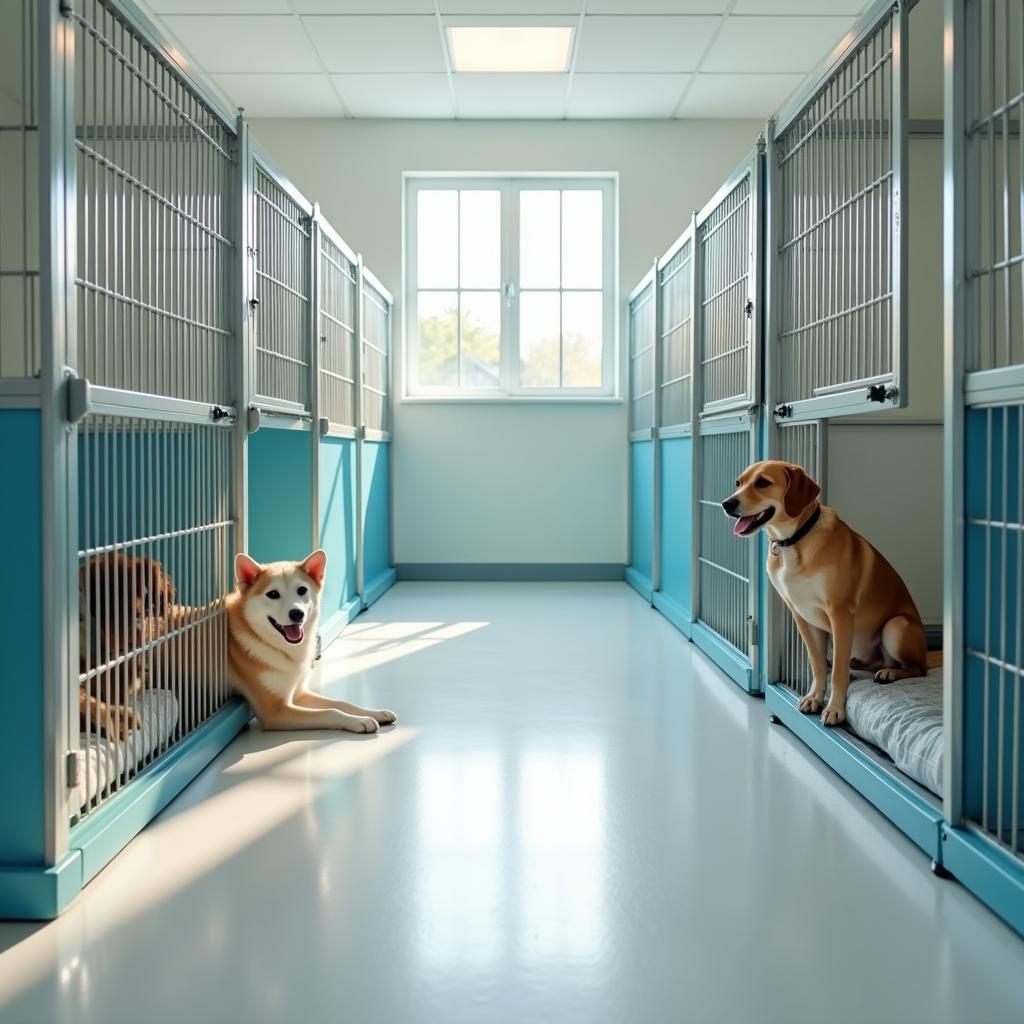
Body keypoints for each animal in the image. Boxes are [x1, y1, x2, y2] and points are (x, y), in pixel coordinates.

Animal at [228, 548, 395, 733]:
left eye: (302, 590)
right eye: (272, 594)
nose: (297, 614)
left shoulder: (299, 694)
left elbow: (341, 703)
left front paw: (374, 712)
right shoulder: (275, 713)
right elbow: (331, 712)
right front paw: (360, 720)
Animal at [724, 464, 933, 729]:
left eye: (762, 483)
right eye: (738, 483)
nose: (726, 504)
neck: (794, 541)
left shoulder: (840, 613)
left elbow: (836, 674)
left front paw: (835, 709)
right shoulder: (802, 615)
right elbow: (818, 665)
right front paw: (814, 697)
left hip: (896, 626)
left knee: (918, 669)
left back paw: (890, 674)